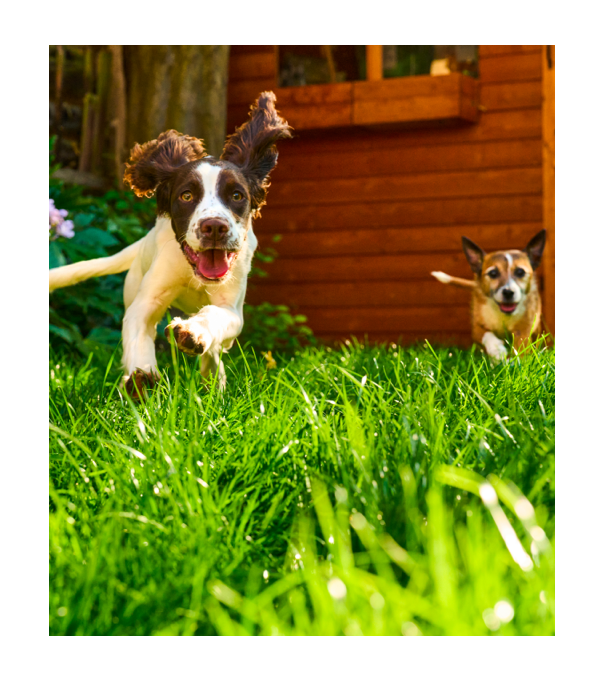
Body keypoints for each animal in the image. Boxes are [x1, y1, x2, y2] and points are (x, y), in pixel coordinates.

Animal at [49, 94, 290, 400]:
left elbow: (217, 317)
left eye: (237, 195)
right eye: (186, 196)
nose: (214, 227)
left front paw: (194, 332)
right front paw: (142, 377)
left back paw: (214, 380)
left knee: (215, 350)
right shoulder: (144, 302)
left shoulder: (233, 307)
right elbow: (139, 333)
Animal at [432, 231, 544, 360]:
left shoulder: (524, 329)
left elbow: (520, 347)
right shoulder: (477, 328)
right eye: (493, 273)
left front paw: (514, 361)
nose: (508, 292)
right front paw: (497, 350)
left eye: (520, 272)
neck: (503, 315)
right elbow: (487, 335)